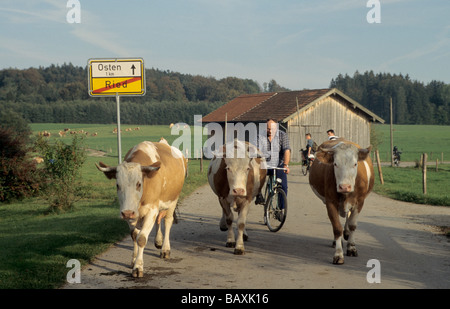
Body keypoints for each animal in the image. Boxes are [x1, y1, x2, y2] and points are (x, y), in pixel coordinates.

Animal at [95, 140, 186, 276]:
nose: (127, 213)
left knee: (167, 221)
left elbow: (142, 238)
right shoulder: (130, 212)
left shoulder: (151, 210)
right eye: (117, 185)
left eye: (138, 184)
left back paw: (165, 249)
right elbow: (134, 235)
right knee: (158, 220)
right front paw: (133, 260)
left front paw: (138, 267)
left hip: (173, 200)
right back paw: (158, 241)